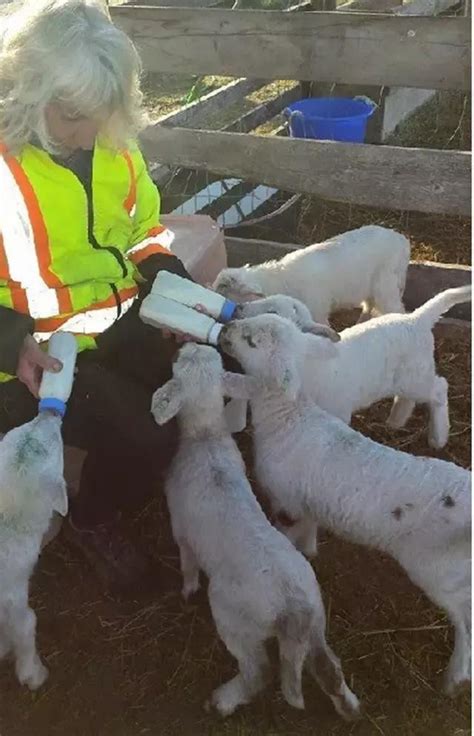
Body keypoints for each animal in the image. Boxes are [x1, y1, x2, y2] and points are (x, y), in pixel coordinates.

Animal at [152, 344, 360, 720]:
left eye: (178, 364)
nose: (183, 346)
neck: (205, 436)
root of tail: (294, 609)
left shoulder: (181, 530)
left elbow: (187, 564)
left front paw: (187, 590)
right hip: (316, 615)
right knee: (328, 665)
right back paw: (349, 706)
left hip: (235, 618)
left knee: (258, 671)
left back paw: (222, 700)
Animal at [213, 226, 410, 324]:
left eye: (226, 293)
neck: (279, 281)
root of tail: (403, 240)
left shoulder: (318, 311)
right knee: (369, 304)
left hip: (386, 284)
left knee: (396, 309)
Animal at [220, 316, 472, 696]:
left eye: (250, 341)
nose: (224, 328)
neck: (289, 417)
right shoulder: (303, 499)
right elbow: (308, 527)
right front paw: (309, 550)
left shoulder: (285, 499)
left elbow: (286, 533)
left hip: (439, 568)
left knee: (466, 619)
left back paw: (454, 677)